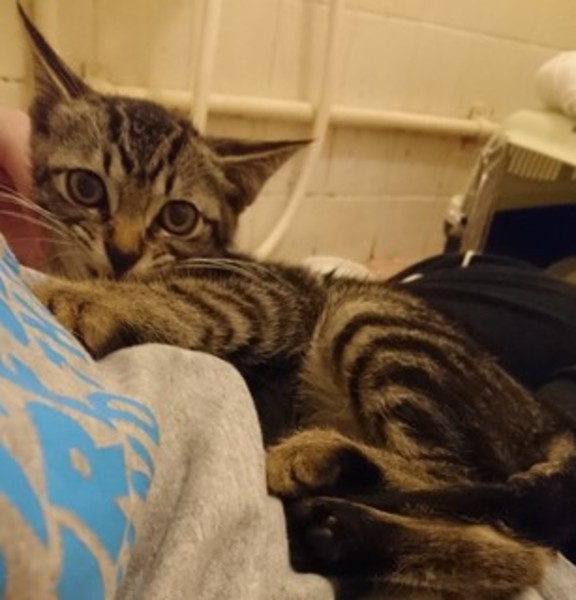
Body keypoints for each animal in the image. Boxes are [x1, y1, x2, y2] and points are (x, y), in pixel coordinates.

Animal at [18, 6, 576, 600]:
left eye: (178, 216)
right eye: (86, 187)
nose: (122, 254)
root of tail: (545, 417)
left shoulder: (273, 296)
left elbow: (191, 297)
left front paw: (86, 297)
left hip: (369, 319)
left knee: (480, 500)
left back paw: (325, 464)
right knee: (513, 548)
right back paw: (341, 532)